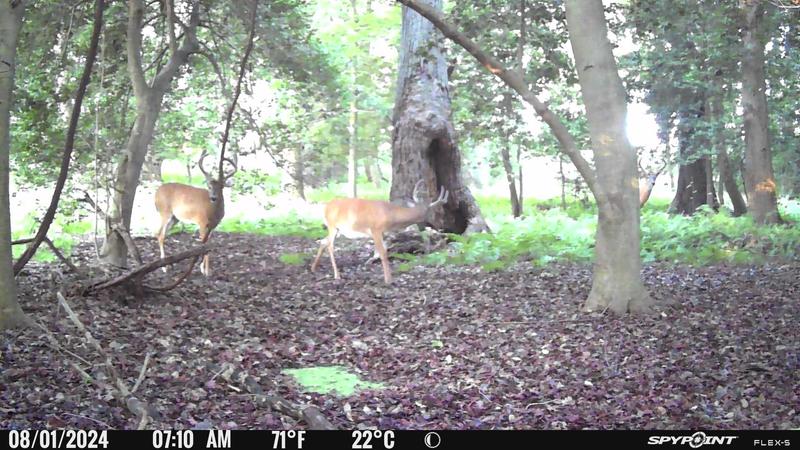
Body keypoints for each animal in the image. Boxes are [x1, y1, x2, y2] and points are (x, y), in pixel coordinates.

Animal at [311, 180, 449, 284]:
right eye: (425, 211)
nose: (428, 224)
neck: (390, 214)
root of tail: (325, 207)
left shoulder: (384, 234)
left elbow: (382, 252)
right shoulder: (375, 229)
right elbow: (382, 253)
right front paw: (388, 280)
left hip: (339, 230)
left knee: (323, 241)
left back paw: (313, 267)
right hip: (332, 225)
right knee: (330, 245)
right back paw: (337, 275)